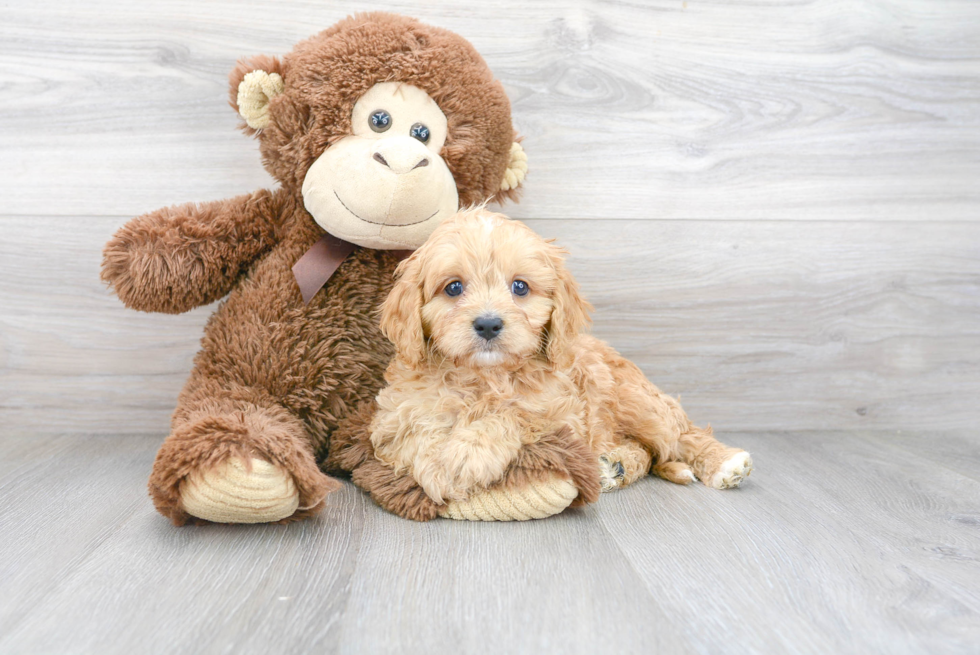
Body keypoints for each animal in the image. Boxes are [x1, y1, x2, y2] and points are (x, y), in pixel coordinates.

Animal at [368, 208, 752, 510]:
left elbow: (512, 414)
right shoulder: (394, 417)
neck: (485, 376)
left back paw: (724, 462)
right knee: (648, 452)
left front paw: (467, 454)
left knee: (680, 436)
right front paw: (438, 464)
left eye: (520, 287)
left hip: (636, 400)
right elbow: (418, 427)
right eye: (453, 287)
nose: (489, 324)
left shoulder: (562, 416)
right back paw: (614, 465)